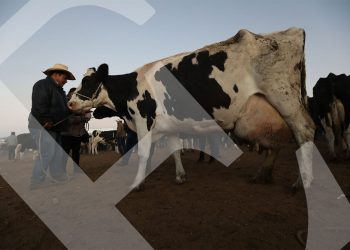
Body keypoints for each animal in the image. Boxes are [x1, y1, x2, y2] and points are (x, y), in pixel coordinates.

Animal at [68, 27, 314, 188]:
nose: (71, 102)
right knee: (278, 142)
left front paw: (137, 183)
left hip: (286, 99)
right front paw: (180, 176)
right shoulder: (169, 126)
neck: (131, 86)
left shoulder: (143, 120)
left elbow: (143, 152)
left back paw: (302, 182)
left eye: (88, 82)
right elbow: (175, 149)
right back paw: (264, 174)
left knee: (305, 132)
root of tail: (291, 31)